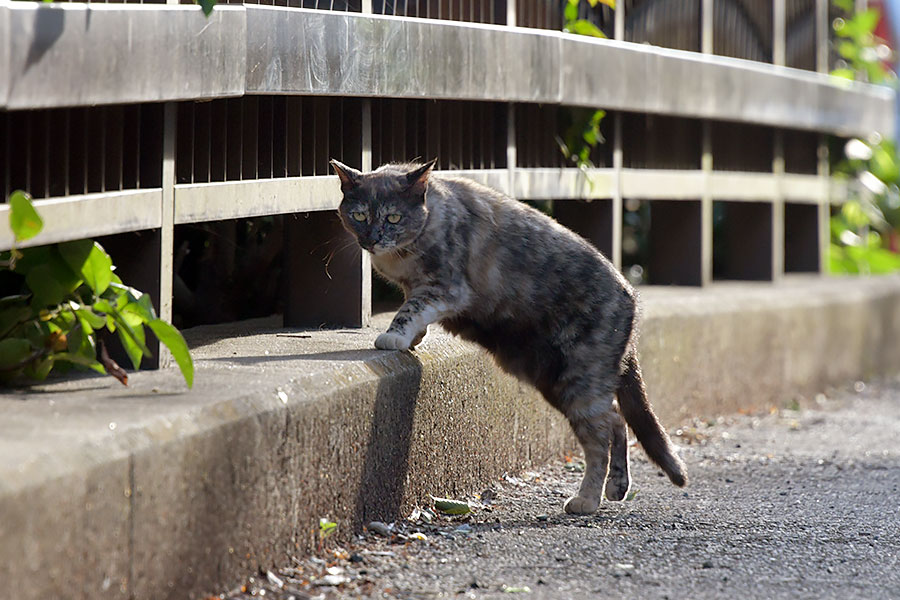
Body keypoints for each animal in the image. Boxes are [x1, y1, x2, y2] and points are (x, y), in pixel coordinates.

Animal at [330, 157, 688, 512]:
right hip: (553, 376)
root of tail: (631, 297)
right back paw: (617, 487)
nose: (372, 239)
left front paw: (396, 335)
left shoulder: (446, 287)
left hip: (578, 378)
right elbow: (413, 307)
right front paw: (415, 338)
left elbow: (411, 308)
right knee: (616, 420)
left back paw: (587, 499)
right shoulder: (418, 285)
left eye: (393, 217)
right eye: (360, 215)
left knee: (600, 438)